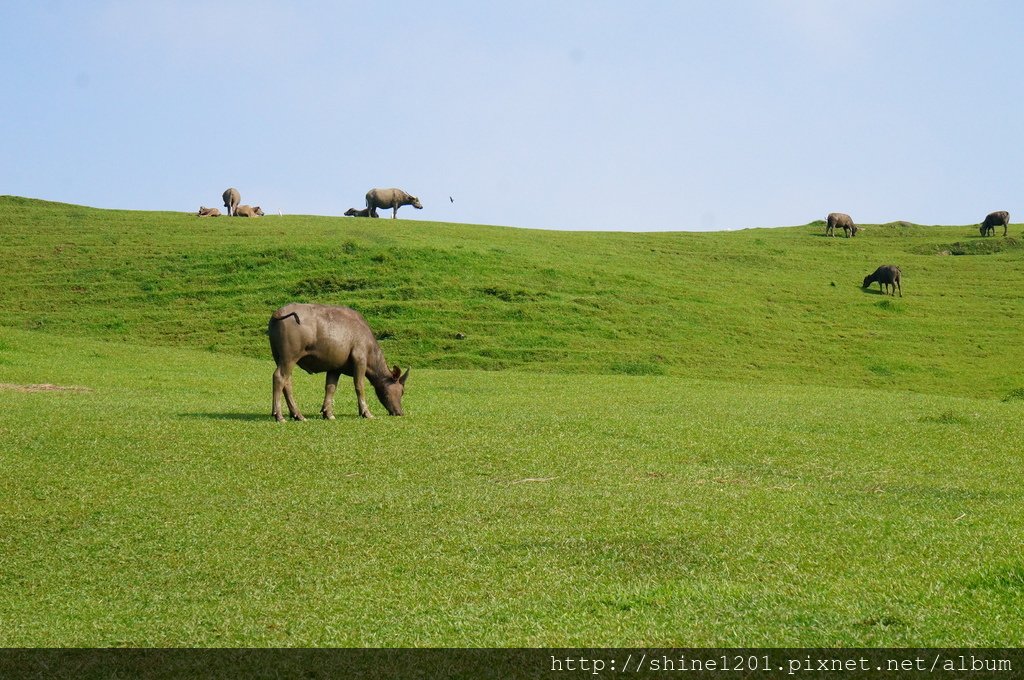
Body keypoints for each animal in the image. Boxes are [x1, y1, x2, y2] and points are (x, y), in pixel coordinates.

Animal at [268, 303, 407, 419]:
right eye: (402, 391)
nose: (400, 412)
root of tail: (277, 313)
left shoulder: (335, 368)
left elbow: (330, 388)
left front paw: (328, 413)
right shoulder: (360, 360)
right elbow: (359, 386)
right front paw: (366, 412)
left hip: (279, 358)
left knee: (287, 382)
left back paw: (297, 415)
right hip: (289, 358)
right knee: (279, 377)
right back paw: (279, 415)